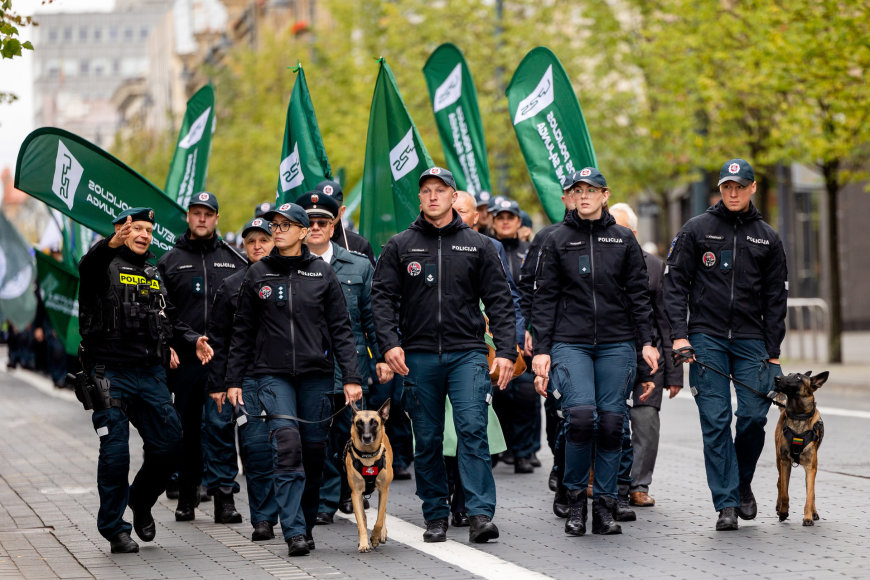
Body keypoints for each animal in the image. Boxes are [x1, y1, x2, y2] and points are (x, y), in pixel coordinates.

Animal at [344, 398, 396, 552]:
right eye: (359, 423)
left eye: (374, 422)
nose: (367, 437)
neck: (367, 457)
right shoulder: (355, 493)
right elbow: (361, 522)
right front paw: (363, 543)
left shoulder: (384, 490)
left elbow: (379, 519)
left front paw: (375, 537)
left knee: (382, 513)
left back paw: (382, 534)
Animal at [776, 372, 832, 524]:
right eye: (789, 374)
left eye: (798, 378)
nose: (777, 378)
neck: (799, 416)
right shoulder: (785, 462)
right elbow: (785, 492)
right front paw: (784, 512)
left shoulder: (810, 467)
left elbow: (810, 494)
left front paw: (808, 516)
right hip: (778, 461)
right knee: (779, 483)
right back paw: (778, 506)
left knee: (811, 491)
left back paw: (813, 512)